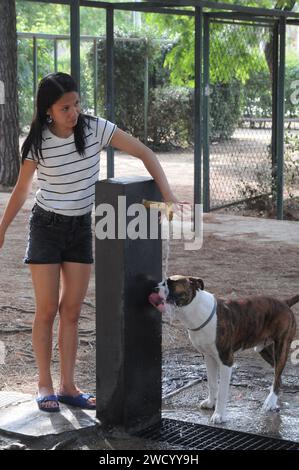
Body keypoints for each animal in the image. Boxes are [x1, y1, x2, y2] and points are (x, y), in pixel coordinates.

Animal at [149, 278, 298, 424]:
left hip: (281, 348)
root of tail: (284, 302)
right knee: (278, 375)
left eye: (170, 283)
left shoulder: (226, 361)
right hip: (264, 349)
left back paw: (270, 401)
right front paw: (210, 403)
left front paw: (219, 415)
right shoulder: (209, 357)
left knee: (277, 374)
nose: (154, 288)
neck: (196, 310)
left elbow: (222, 391)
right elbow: (212, 383)